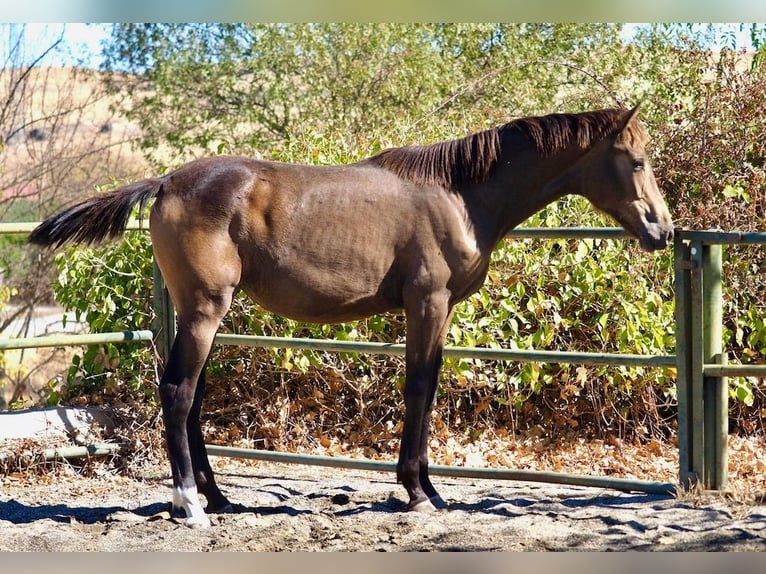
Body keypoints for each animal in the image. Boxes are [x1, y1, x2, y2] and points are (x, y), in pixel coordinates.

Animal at [28, 106, 672, 528]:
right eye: (636, 161)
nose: (662, 230)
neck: (459, 194)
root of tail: (165, 181)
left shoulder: (438, 310)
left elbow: (427, 387)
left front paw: (429, 489)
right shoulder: (427, 302)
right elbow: (419, 388)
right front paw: (416, 491)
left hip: (197, 314)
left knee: (193, 397)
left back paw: (218, 498)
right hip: (206, 311)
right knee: (178, 392)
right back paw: (189, 504)